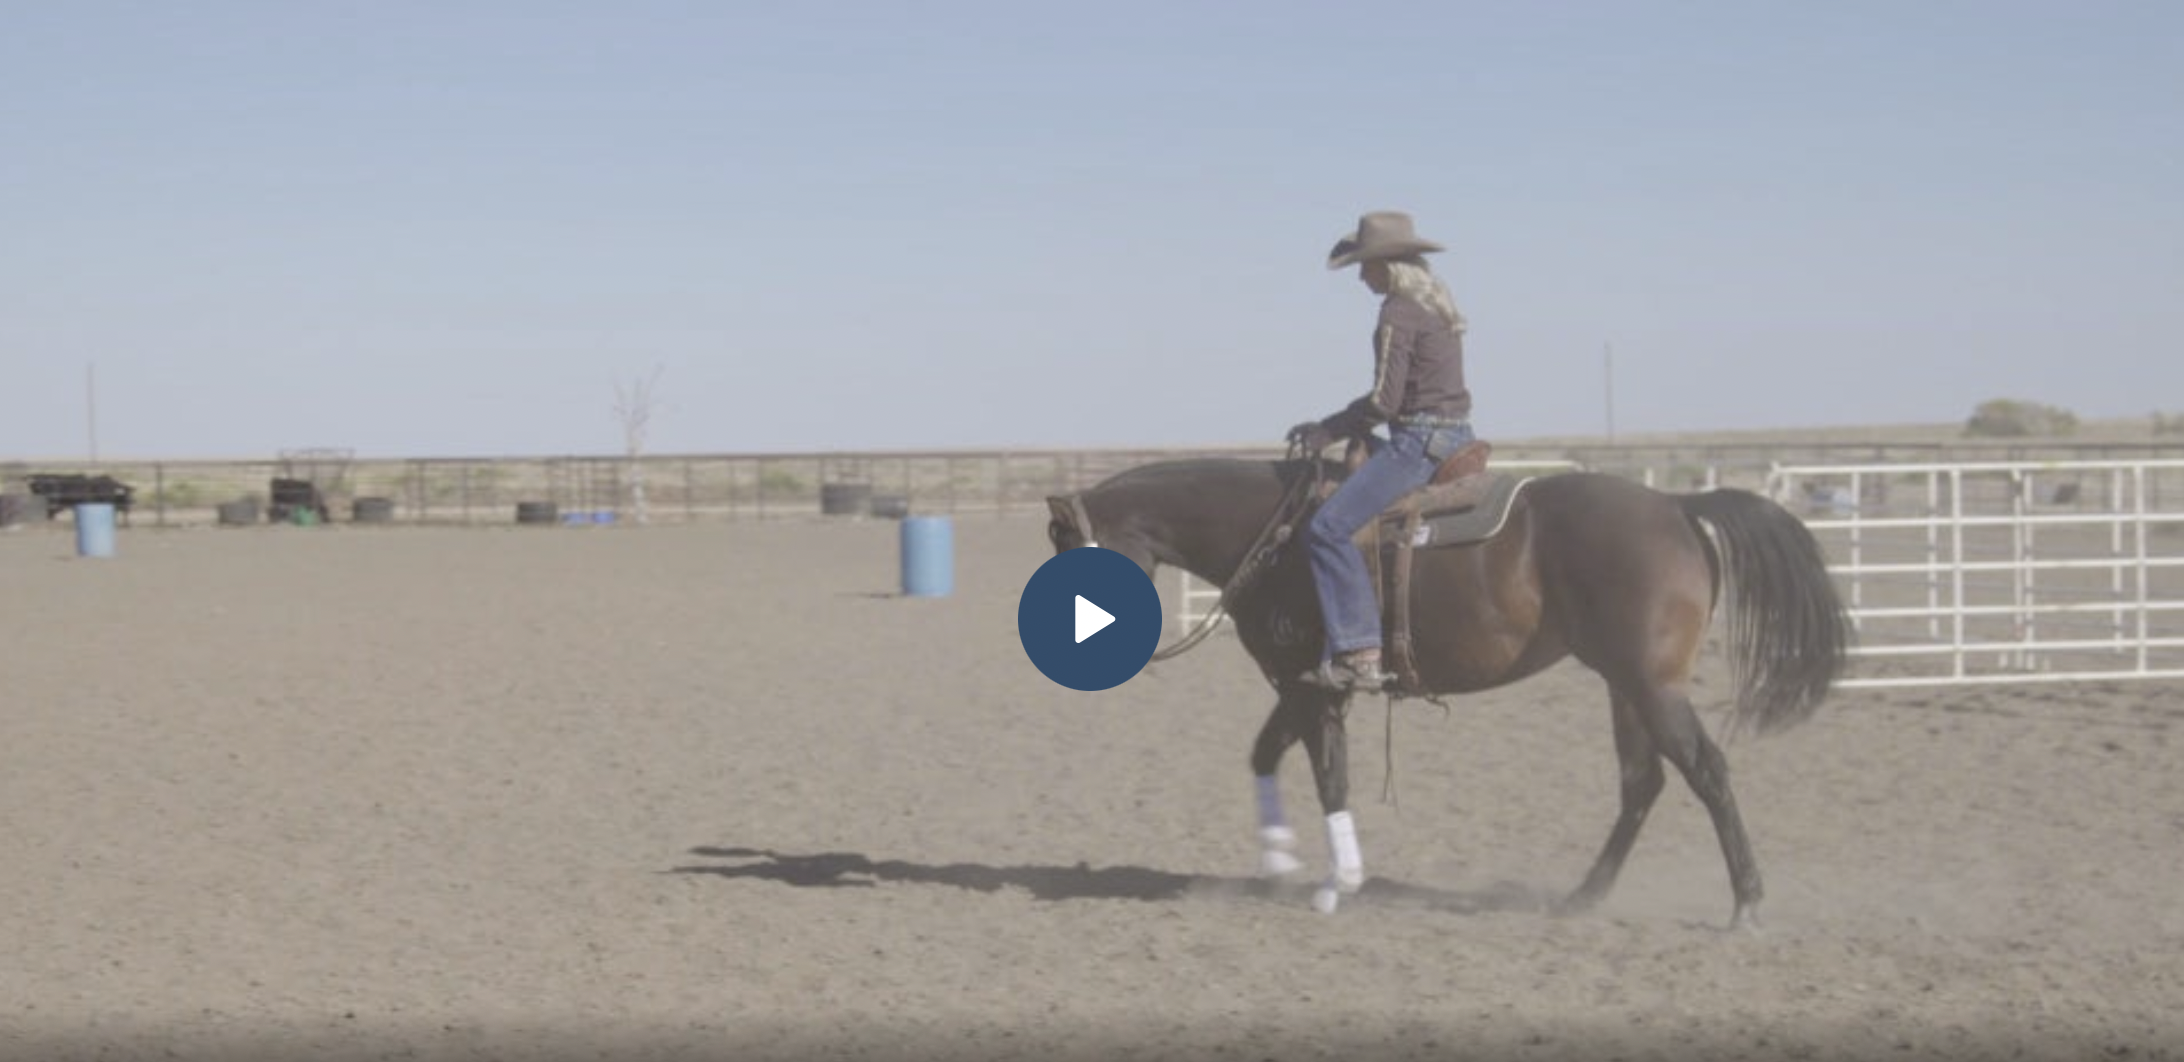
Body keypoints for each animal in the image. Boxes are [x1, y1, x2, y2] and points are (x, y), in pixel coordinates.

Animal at [1048, 447, 1852, 930]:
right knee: (1642, 782)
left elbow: (1330, 778)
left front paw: (1339, 882)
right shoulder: (1299, 685)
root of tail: (1680, 509)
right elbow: (1264, 755)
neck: (1275, 535)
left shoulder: (1315, 689)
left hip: (1651, 687)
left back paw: (1746, 903)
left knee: (1705, 770)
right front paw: (1277, 861)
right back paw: (1583, 897)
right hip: (1627, 686)